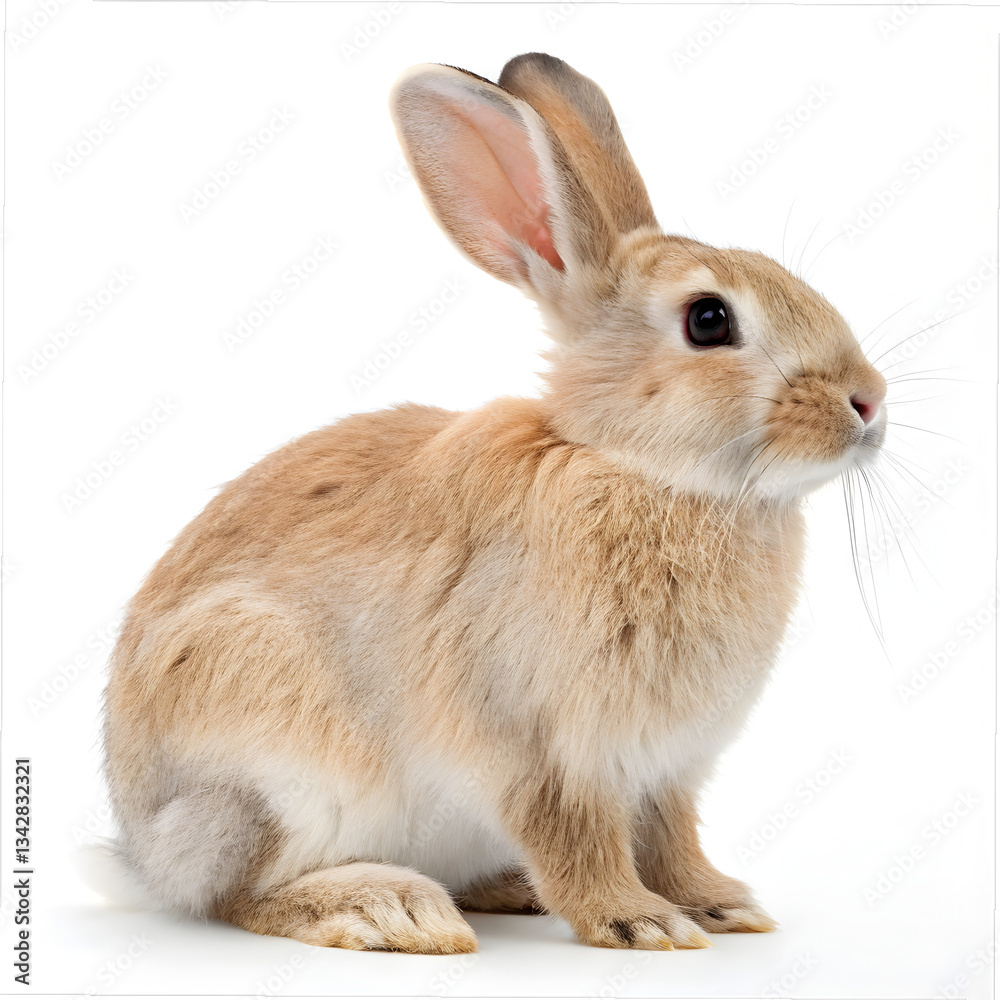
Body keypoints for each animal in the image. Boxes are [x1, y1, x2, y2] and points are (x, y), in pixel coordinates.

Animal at [101, 52, 887, 954]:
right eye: (709, 320)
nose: (870, 401)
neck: (637, 468)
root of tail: (142, 850)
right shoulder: (540, 746)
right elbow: (576, 838)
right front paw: (639, 921)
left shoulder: (667, 769)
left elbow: (672, 837)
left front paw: (720, 905)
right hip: (273, 762)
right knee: (234, 893)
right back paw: (387, 907)